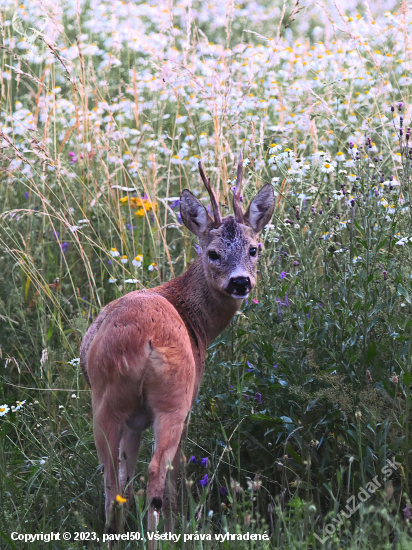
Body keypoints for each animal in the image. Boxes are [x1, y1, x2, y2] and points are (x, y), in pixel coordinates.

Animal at [79, 154, 276, 544]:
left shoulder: (135, 421)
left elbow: (124, 474)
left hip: (106, 401)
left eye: (254, 249)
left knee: (112, 482)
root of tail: (144, 343)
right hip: (174, 399)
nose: (241, 282)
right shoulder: (187, 402)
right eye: (212, 253)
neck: (195, 318)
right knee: (158, 473)